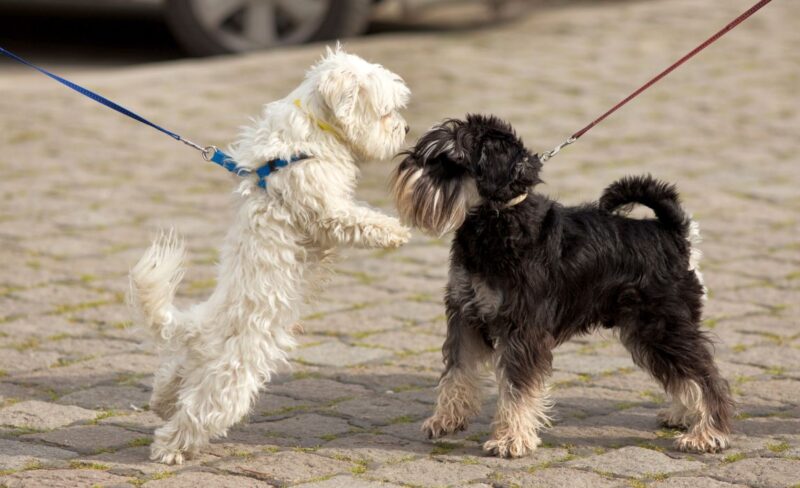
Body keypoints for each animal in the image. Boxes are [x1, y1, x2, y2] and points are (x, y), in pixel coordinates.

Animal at [130, 46, 412, 466]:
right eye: (386, 112)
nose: (406, 130)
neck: (312, 133)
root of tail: (202, 326)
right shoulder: (326, 209)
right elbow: (358, 220)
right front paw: (395, 231)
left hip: (192, 363)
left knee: (171, 377)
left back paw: (161, 404)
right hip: (231, 380)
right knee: (199, 413)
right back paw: (169, 449)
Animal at [390, 114, 736, 458]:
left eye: (450, 160)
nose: (406, 166)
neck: (498, 220)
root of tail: (674, 234)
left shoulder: (522, 329)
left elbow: (516, 386)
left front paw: (511, 439)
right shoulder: (466, 315)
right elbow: (457, 370)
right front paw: (446, 419)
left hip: (663, 326)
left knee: (706, 376)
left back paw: (707, 433)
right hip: (648, 333)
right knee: (683, 374)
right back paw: (684, 416)